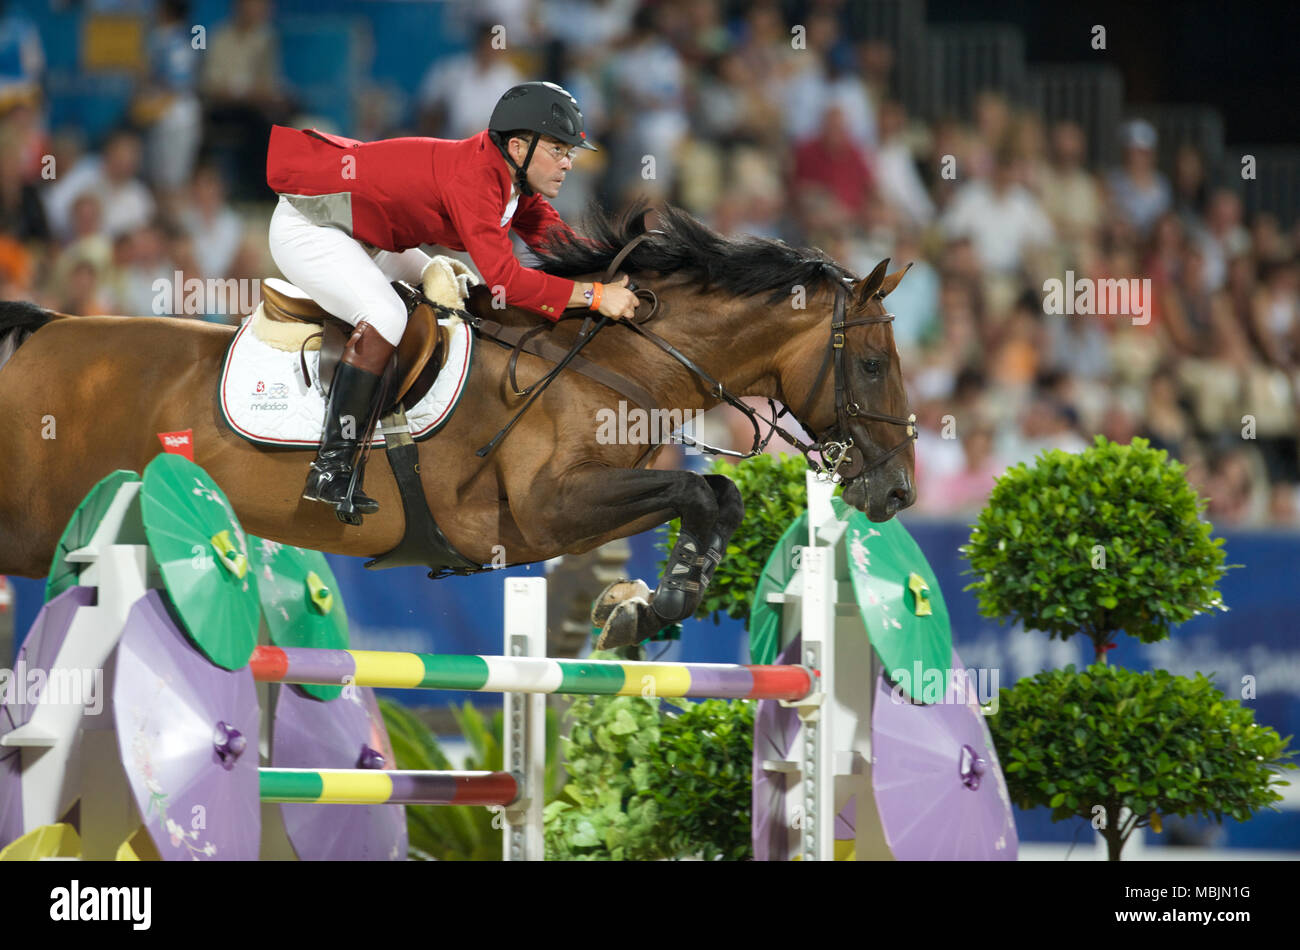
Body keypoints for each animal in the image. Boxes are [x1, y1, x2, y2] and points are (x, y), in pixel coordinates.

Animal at [0, 200, 915, 647]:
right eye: (873, 364)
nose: (900, 491)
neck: (615, 357)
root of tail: (46, 331)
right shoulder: (547, 510)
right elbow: (700, 490)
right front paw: (651, 604)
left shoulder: (571, 515)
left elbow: (717, 496)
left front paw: (649, 604)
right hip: (33, 526)